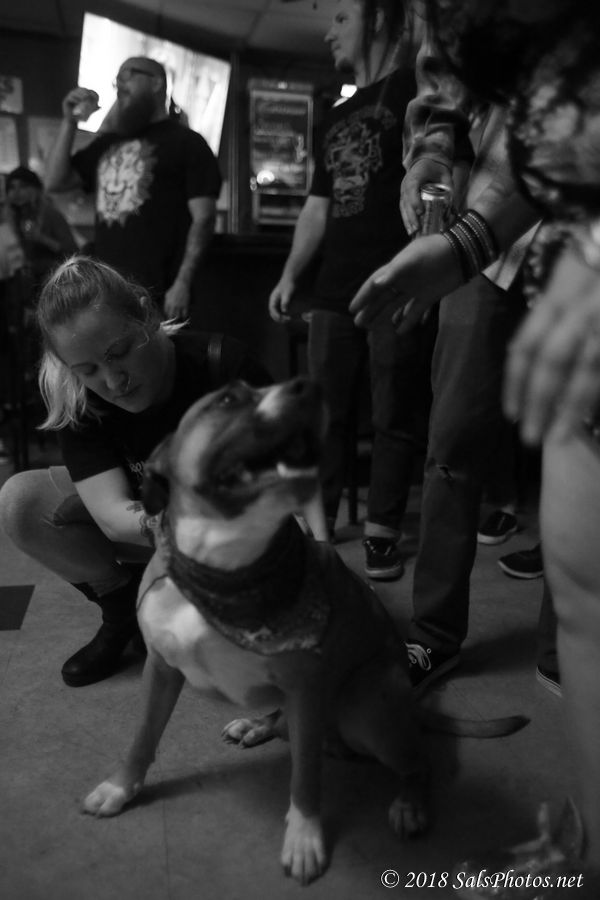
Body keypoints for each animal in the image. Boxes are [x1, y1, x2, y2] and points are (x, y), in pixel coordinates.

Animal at [82, 377, 527, 885]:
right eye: (228, 398)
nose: (310, 385)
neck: (227, 565)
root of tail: (411, 704)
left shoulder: (306, 688)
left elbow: (305, 777)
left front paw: (304, 838)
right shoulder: (160, 669)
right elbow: (142, 737)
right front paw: (119, 788)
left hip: (364, 707)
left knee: (418, 762)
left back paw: (410, 805)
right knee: (287, 724)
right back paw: (255, 725)